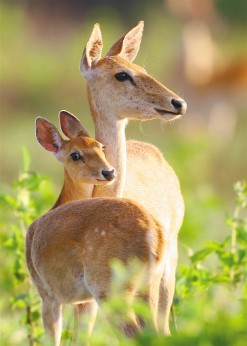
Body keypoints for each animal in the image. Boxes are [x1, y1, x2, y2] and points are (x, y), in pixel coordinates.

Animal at [26, 115, 166, 344]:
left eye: (101, 146)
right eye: (75, 154)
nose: (109, 172)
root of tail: (154, 234)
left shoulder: (47, 294)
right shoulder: (79, 301)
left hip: (109, 288)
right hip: (150, 286)